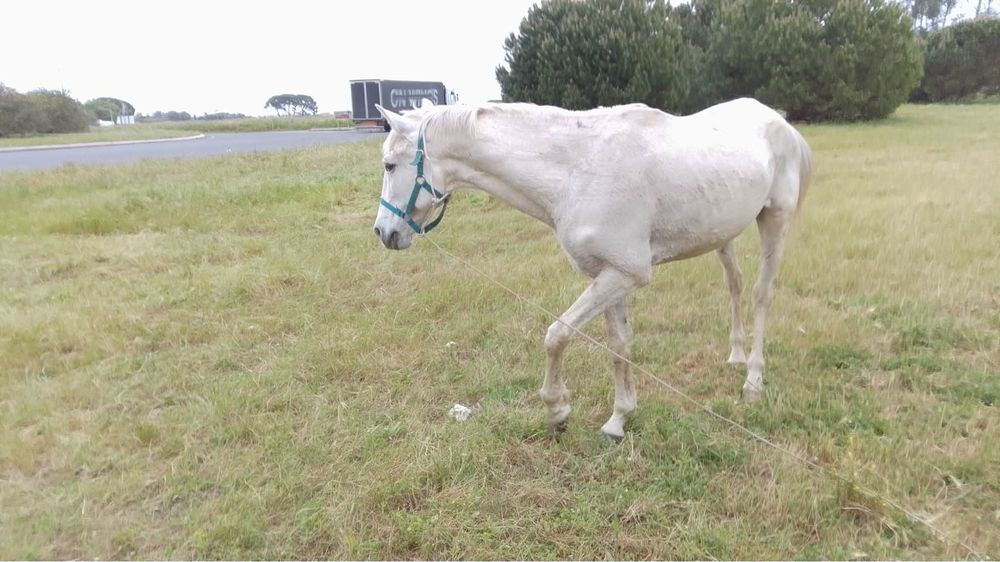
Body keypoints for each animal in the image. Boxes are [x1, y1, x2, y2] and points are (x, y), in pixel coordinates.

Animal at [372, 98, 812, 439]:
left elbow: (557, 335)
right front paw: (619, 419)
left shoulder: (625, 275)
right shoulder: (610, 275)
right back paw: (736, 355)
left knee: (761, 294)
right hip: (724, 235)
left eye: (390, 164)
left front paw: (557, 411)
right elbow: (619, 346)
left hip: (775, 221)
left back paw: (752, 380)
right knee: (734, 284)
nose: (384, 232)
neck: (577, 170)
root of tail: (779, 122)